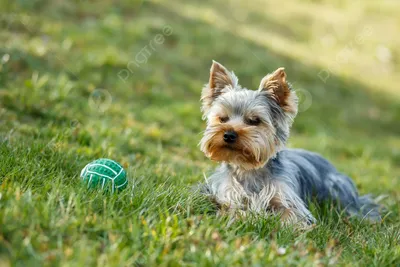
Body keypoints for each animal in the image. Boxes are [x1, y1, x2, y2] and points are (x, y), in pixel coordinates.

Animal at [200, 60, 382, 226]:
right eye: (223, 119)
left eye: (254, 120)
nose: (229, 134)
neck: (249, 169)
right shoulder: (227, 193)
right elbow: (230, 209)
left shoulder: (289, 200)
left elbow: (290, 214)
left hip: (336, 188)